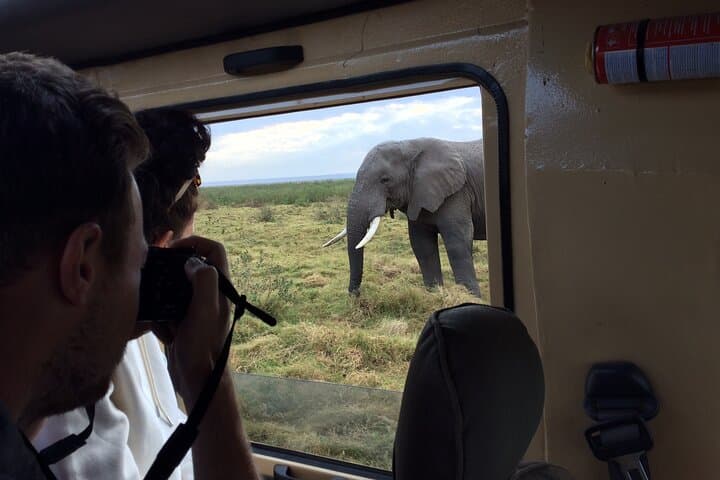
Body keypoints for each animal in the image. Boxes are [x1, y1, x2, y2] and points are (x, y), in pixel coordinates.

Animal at [324, 137, 485, 296]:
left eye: (385, 179)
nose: (355, 294)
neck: (410, 146)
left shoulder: (457, 192)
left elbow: (457, 242)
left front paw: (470, 296)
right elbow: (421, 245)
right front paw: (434, 294)